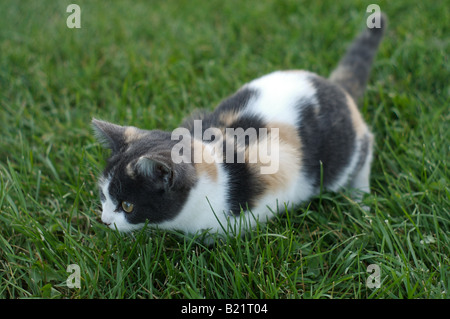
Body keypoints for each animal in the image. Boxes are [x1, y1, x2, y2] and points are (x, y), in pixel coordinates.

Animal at [92, 13, 386, 241]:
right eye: (103, 196)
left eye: (128, 206)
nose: (105, 221)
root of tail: (336, 87)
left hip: (343, 152)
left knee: (367, 146)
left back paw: (361, 195)